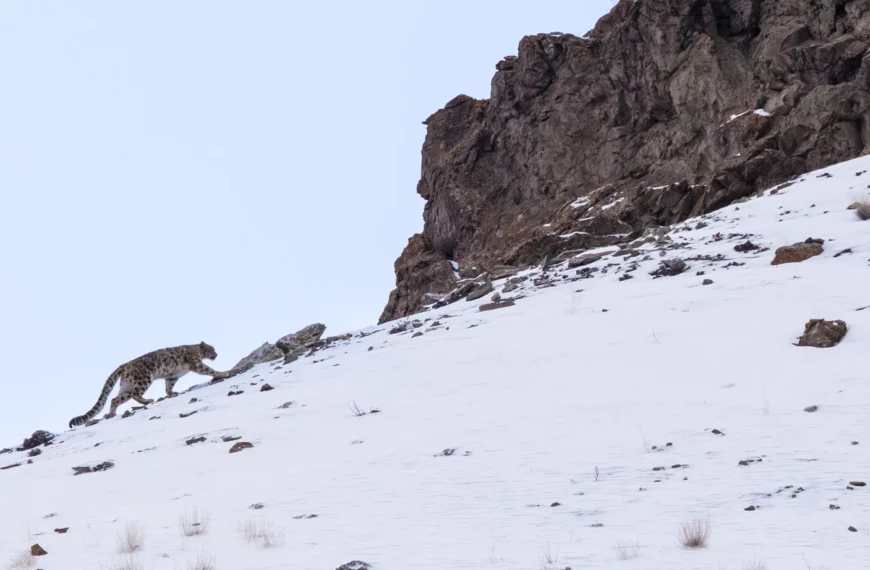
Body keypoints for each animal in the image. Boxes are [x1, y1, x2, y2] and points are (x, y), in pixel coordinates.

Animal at [69, 342, 231, 428]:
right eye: (211, 349)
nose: (216, 355)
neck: (196, 350)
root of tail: (123, 365)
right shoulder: (196, 363)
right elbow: (209, 370)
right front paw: (224, 373)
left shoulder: (172, 376)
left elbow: (169, 386)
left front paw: (171, 393)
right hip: (144, 379)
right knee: (135, 394)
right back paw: (147, 400)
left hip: (126, 385)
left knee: (115, 399)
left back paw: (112, 413)